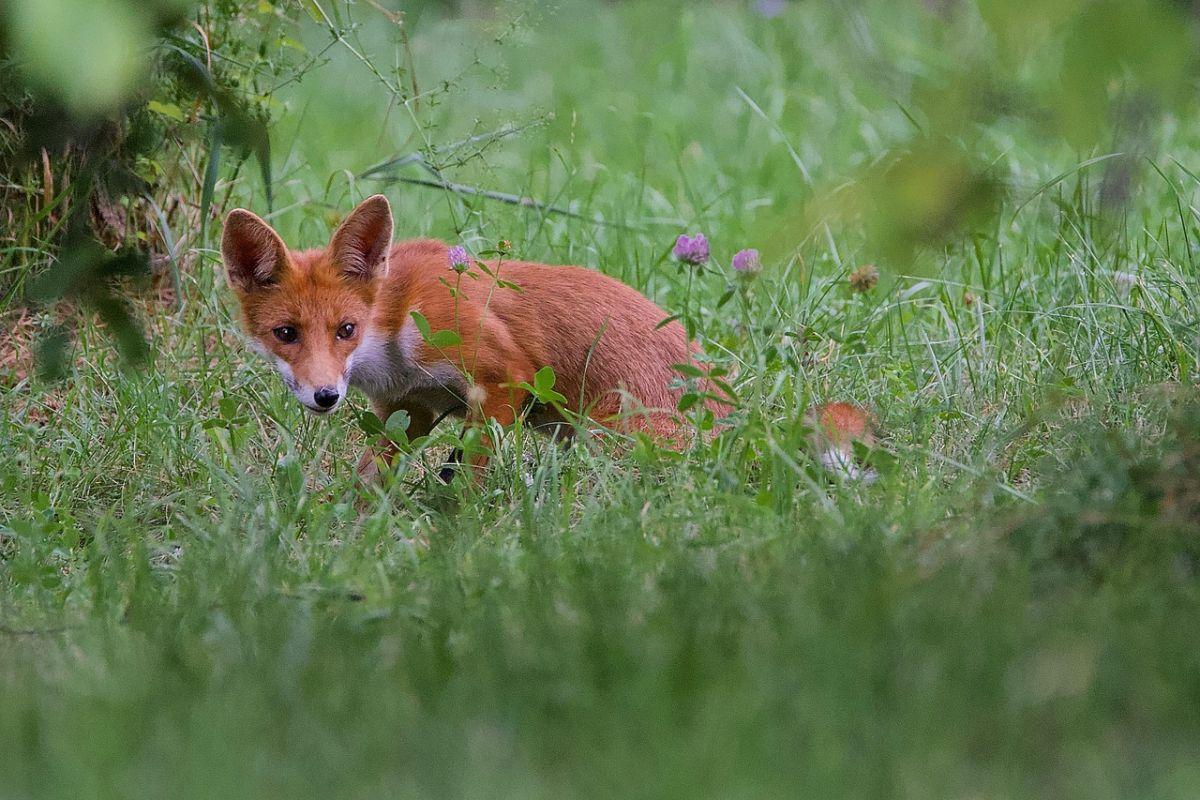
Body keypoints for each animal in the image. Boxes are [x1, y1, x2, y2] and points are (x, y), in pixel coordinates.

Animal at [225, 196, 729, 479]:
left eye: (345, 330)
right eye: (286, 334)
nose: (325, 396)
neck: (394, 328)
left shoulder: (504, 377)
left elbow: (467, 481)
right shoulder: (408, 408)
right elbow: (366, 482)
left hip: (605, 438)